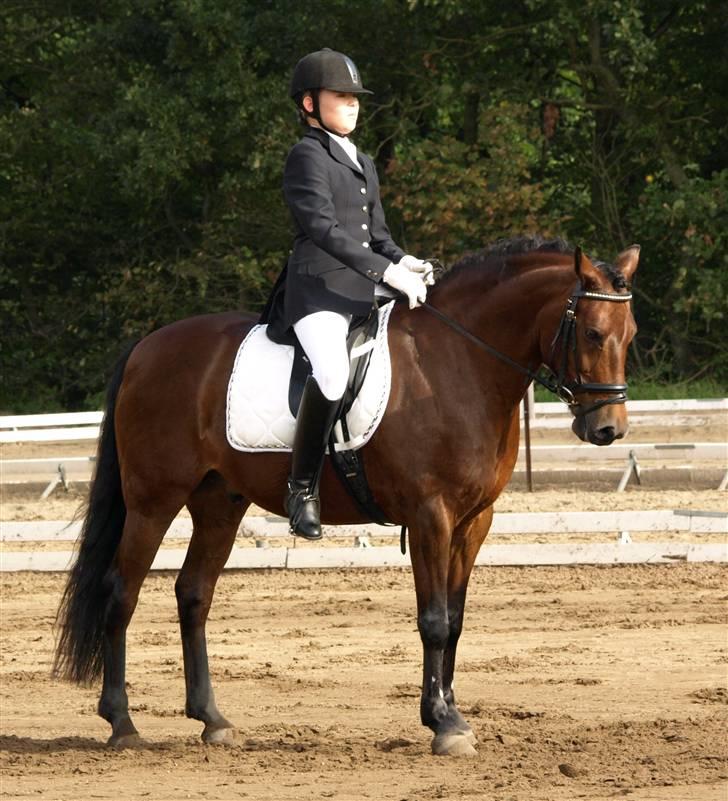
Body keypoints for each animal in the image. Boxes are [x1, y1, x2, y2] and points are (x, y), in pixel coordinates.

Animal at [53, 236, 639, 756]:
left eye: (629, 334)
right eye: (592, 333)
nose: (608, 429)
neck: (459, 363)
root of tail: (146, 346)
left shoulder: (475, 521)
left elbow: (455, 620)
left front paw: (452, 712)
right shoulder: (430, 515)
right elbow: (433, 620)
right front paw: (442, 724)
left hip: (219, 503)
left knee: (194, 594)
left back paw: (213, 720)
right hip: (153, 501)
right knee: (120, 592)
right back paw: (122, 723)